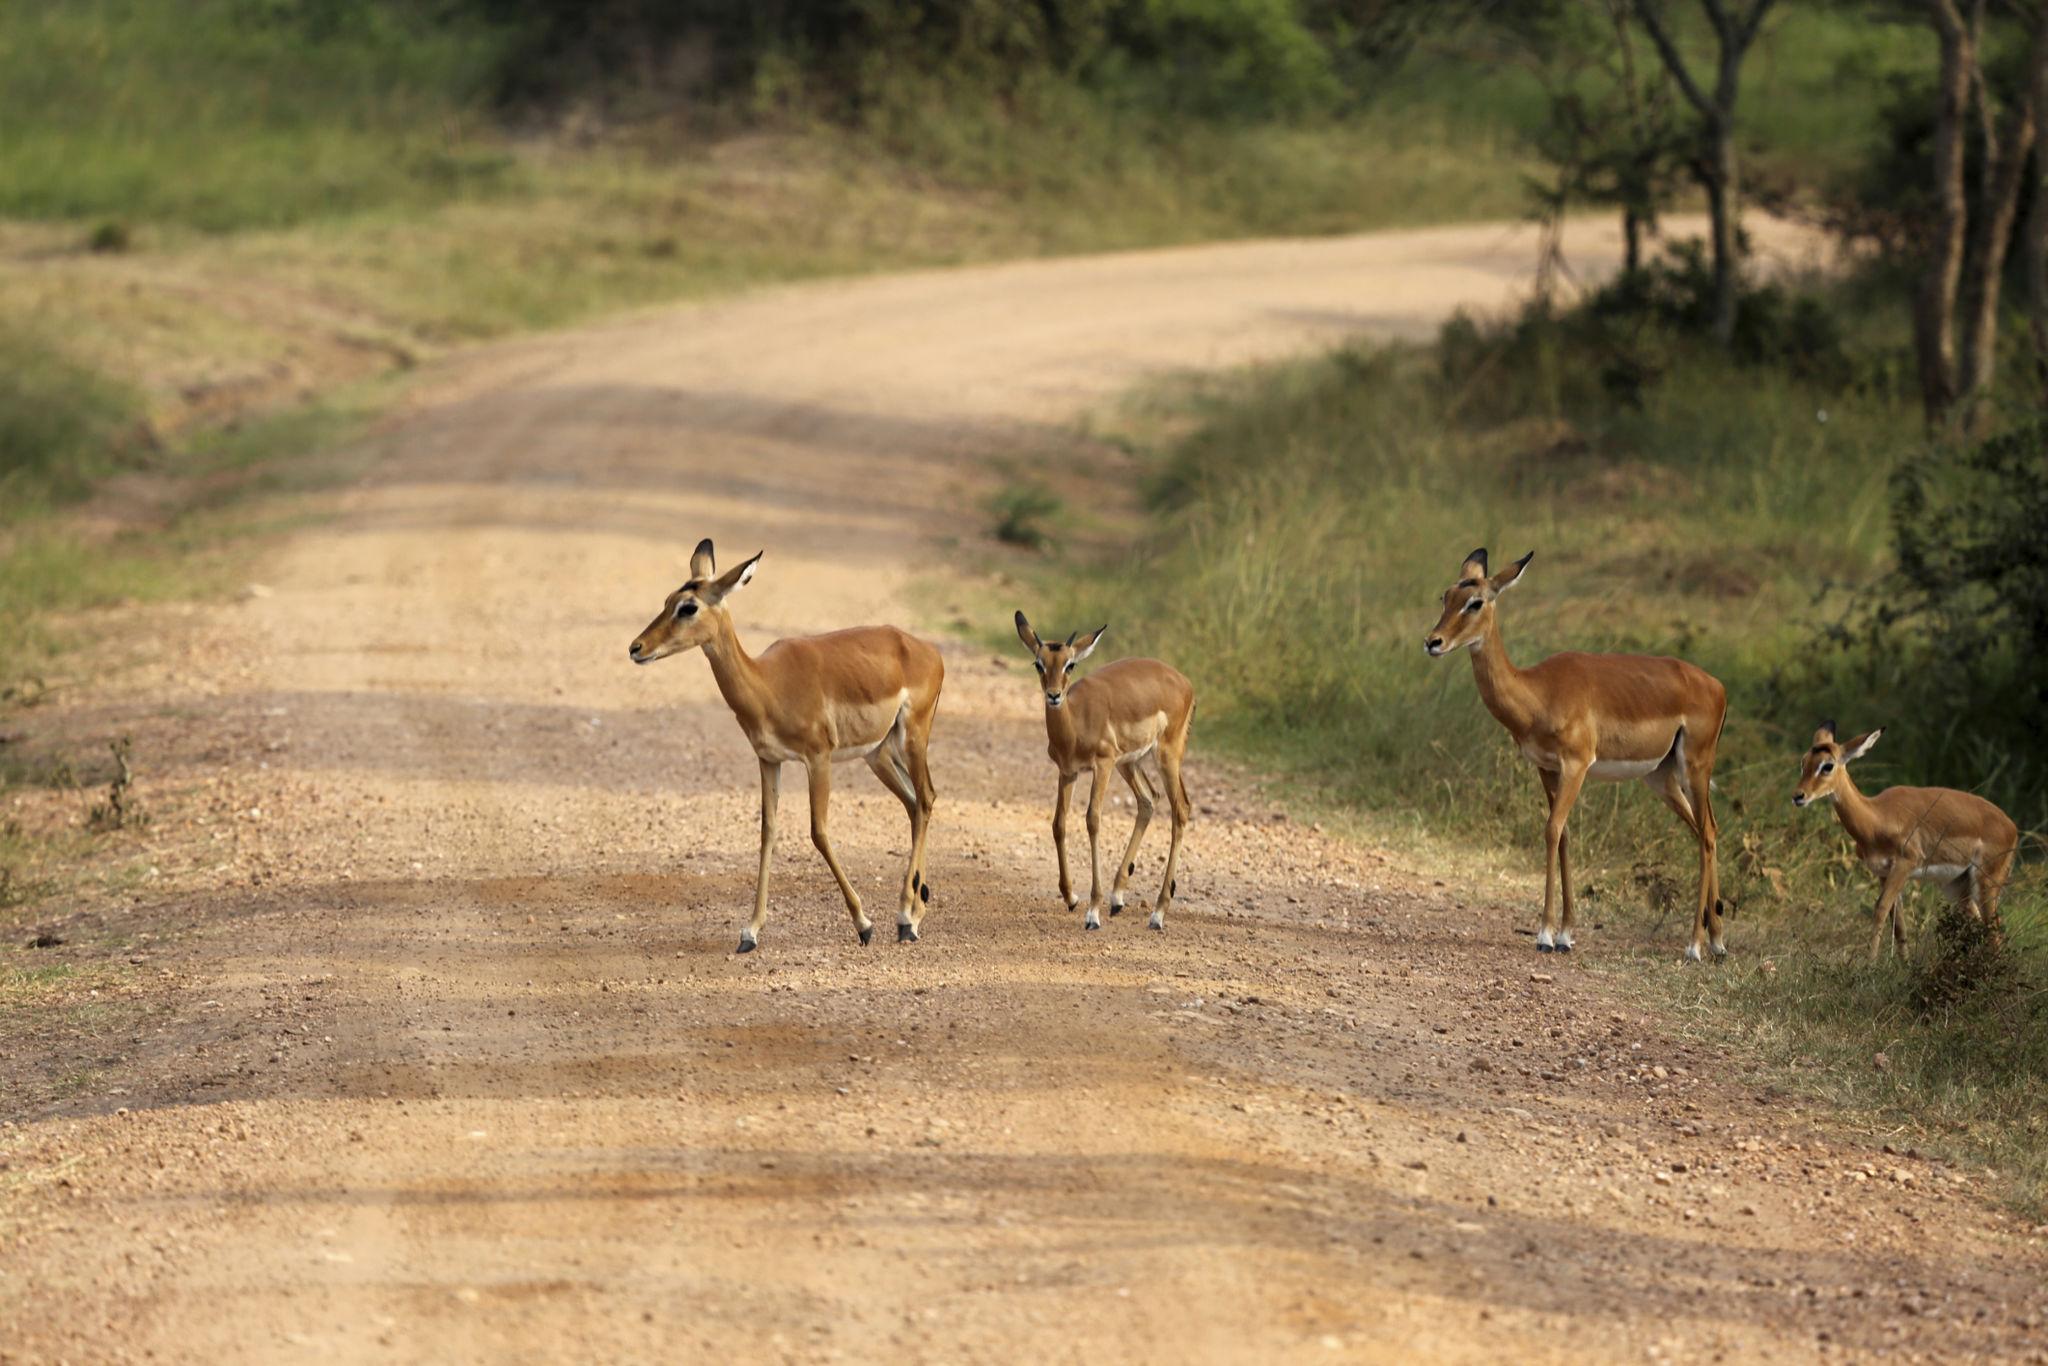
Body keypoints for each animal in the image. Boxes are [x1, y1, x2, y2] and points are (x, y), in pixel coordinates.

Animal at [629, 539, 944, 953]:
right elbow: (768, 832)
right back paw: (912, 910)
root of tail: (930, 651)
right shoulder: (768, 760)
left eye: (688, 606)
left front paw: (863, 924)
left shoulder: (818, 757)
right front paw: (749, 933)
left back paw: (907, 920)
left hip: (913, 735)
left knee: (926, 797)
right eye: (667, 600)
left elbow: (818, 831)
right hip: (878, 753)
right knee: (913, 804)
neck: (768, 684)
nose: (636, 648)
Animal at [1014, 612, 1194, 932]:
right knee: (1149, 800)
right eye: (1039, 663)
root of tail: (1184, 682)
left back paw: (1157, 914)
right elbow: (1058, 824)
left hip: (1164, 757)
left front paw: (1092, 913)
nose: (1054, 696)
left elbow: (1092, 820)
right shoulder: (1068, 772)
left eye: (1070, 664)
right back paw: (1118, 899)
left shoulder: (1102, 765)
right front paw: (1071, 897)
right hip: (1130, 763)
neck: (1076, 722)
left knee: (1180, 809)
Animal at [1424, 549, 1730, 960]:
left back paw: (1695, 946)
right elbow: (1565, 833)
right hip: (1662, 778)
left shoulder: (1577, 765)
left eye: (1476, 601)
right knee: (1702, 831)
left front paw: (1544, 934)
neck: (1538, 692)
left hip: (1695, 766)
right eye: (1445, 596)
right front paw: (1566, 934)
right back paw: (1716, 941)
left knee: (1709, 832)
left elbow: (1552, 829)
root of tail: (1717, 686)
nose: (1433, 641)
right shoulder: (1546, 768)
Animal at [1792, 722, 2017, 957]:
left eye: (1827, 765)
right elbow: (1898, 922)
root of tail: (2012, 827)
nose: (1798, 796)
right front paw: (1903, 963)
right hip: (1956, 885)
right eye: (1803, 761)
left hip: (1986, 883)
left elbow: (1880, 909)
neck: (1877, 817)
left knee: (1994, 929)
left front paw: (1869, 962)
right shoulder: (1884, 873)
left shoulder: (1905, 864)